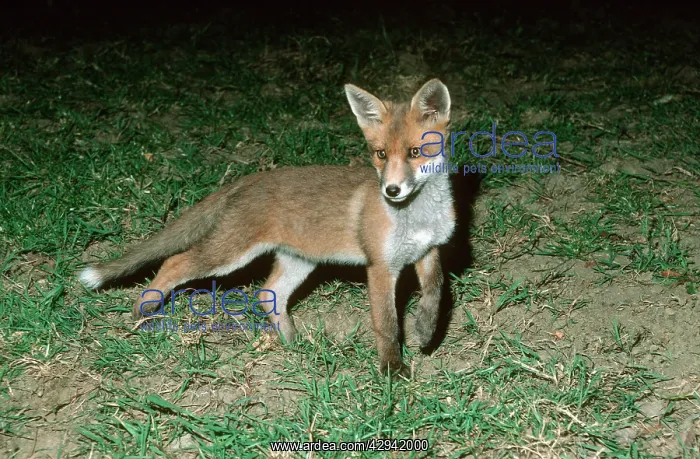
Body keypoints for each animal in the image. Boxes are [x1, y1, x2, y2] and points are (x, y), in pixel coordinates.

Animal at [79, 78, 456, 377]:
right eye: (380, 154)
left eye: (415, 152)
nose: (391, 191)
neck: (418, 217)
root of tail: (251, 178)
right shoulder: (380, 267)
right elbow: (387, 324)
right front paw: (392, 369)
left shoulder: (428, 251)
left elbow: (436, 292)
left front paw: (425, 330)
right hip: (231, 254)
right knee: (175, 262)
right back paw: (143, 308)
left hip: (298, 261)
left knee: (267, 293)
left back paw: (291, 341)